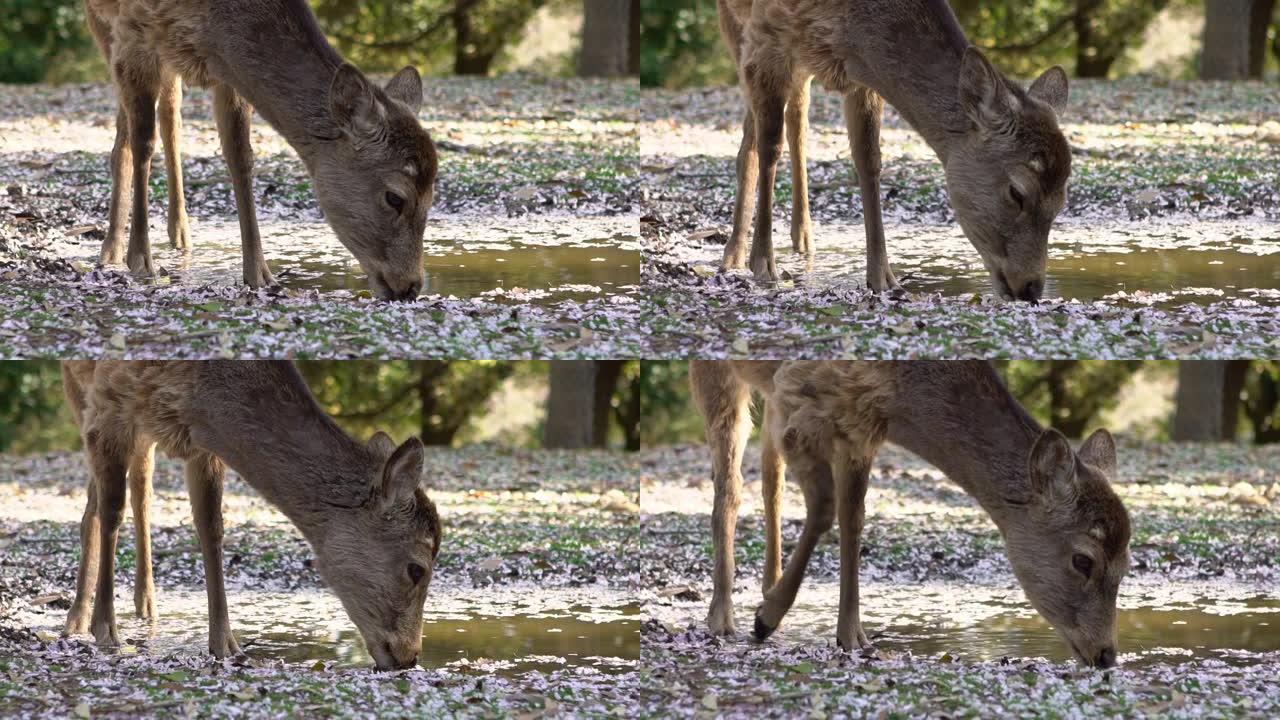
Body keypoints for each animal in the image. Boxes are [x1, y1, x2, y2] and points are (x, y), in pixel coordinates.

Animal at [62, 361, 442, 671]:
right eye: (417, 569)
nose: (410, 656)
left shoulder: (197, 441)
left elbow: (211, 525)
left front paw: (226, 645)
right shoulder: (108, 399)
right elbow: (111, 510)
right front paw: (106, 631)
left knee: (141, 484)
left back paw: (146, 604)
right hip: (79, 392)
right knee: (97, 502)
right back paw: (77, 618)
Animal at [85, 0, 437, 299]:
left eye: (433, 194)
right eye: (395, 197)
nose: (411, 286)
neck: (210, 20)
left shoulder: (224, 69)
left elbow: (240, 156)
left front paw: (260, 274)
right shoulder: (133, 31)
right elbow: (143, 143)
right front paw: (140, 260)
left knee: (171, 116)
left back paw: (179, 232)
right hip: (104, 26)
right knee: (128, 135)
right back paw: (112, 248)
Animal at [691, 358, 1131, 666]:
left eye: (1127, 564)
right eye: (1082, 559)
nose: (1107, 655)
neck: (901, 398)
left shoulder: (859, 430)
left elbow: (854, 517)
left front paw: (853, 637)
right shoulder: (800, 398)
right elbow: (825, 509)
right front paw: (766, 618)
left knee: (771, 479)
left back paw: (766, 587)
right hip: (719, 373)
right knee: (729, 487)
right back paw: (722, 617)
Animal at [721, 0, 1070, 299]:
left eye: (1061, 201)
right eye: (1017, 192)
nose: (1031, 289)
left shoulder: (859, 77)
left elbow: (869, 159)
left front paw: (883, 278)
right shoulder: (764, 36)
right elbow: (769, 146)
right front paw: (763, 265)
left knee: (797, 117)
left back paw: (803, 237)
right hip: (738, 31)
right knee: (753, 137)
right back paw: (734, 254)